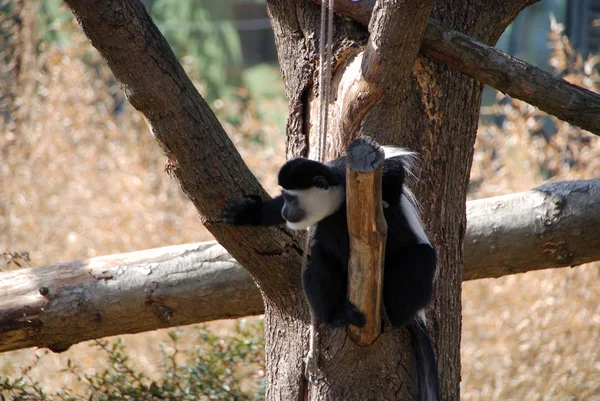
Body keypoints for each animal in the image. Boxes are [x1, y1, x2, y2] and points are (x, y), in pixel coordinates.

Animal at [223, 148, 438, 400]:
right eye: (284, 198)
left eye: (292, 198)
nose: (285, 211)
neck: (336, 204)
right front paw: (249, 213)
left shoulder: (344, 173)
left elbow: (394, 165)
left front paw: (386, 201)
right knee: (320, 260)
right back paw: (336, 315)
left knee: (423, 257)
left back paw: (394, 314)